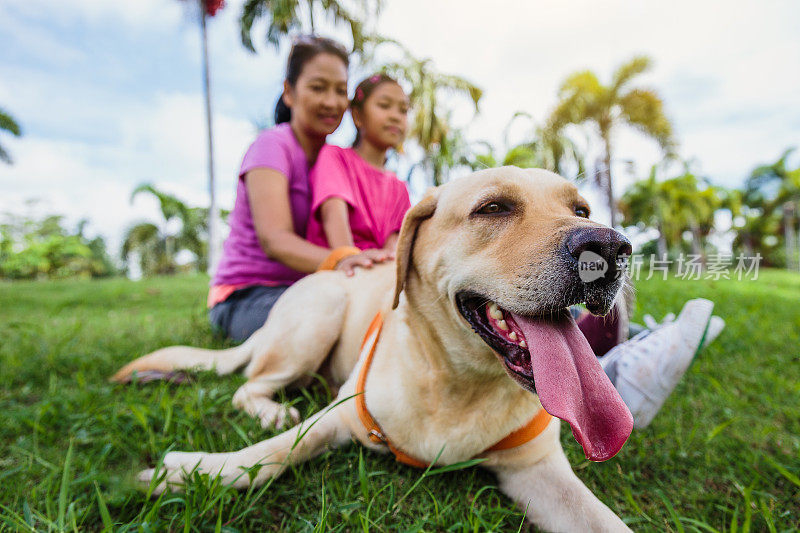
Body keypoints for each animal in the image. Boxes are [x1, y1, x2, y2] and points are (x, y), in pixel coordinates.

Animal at [114, 167, 636, 532]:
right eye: (493, 208)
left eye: (581, 210)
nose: (613, 248)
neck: (460, 385)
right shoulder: (340, 415)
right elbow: (273, 453)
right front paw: (195, 471)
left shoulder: (537, 469)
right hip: (318, 313)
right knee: (249, 386)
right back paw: (271, 410)